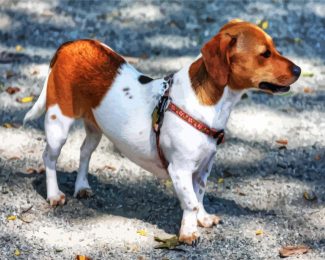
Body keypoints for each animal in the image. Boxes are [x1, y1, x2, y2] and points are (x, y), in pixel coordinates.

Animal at [24, 19, 300, 245]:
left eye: (274, 48)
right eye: (265, 54)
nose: (298, 70)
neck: (211, 103)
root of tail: (70, 45)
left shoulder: (203, 168)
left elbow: (199, 196)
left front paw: (202, 219)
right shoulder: (179, 170)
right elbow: (190, 202)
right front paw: (188, 234)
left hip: (95, 128)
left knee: (84, 152)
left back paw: (81, 186)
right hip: (58, 123)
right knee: (49, 158)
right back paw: (54, 194)